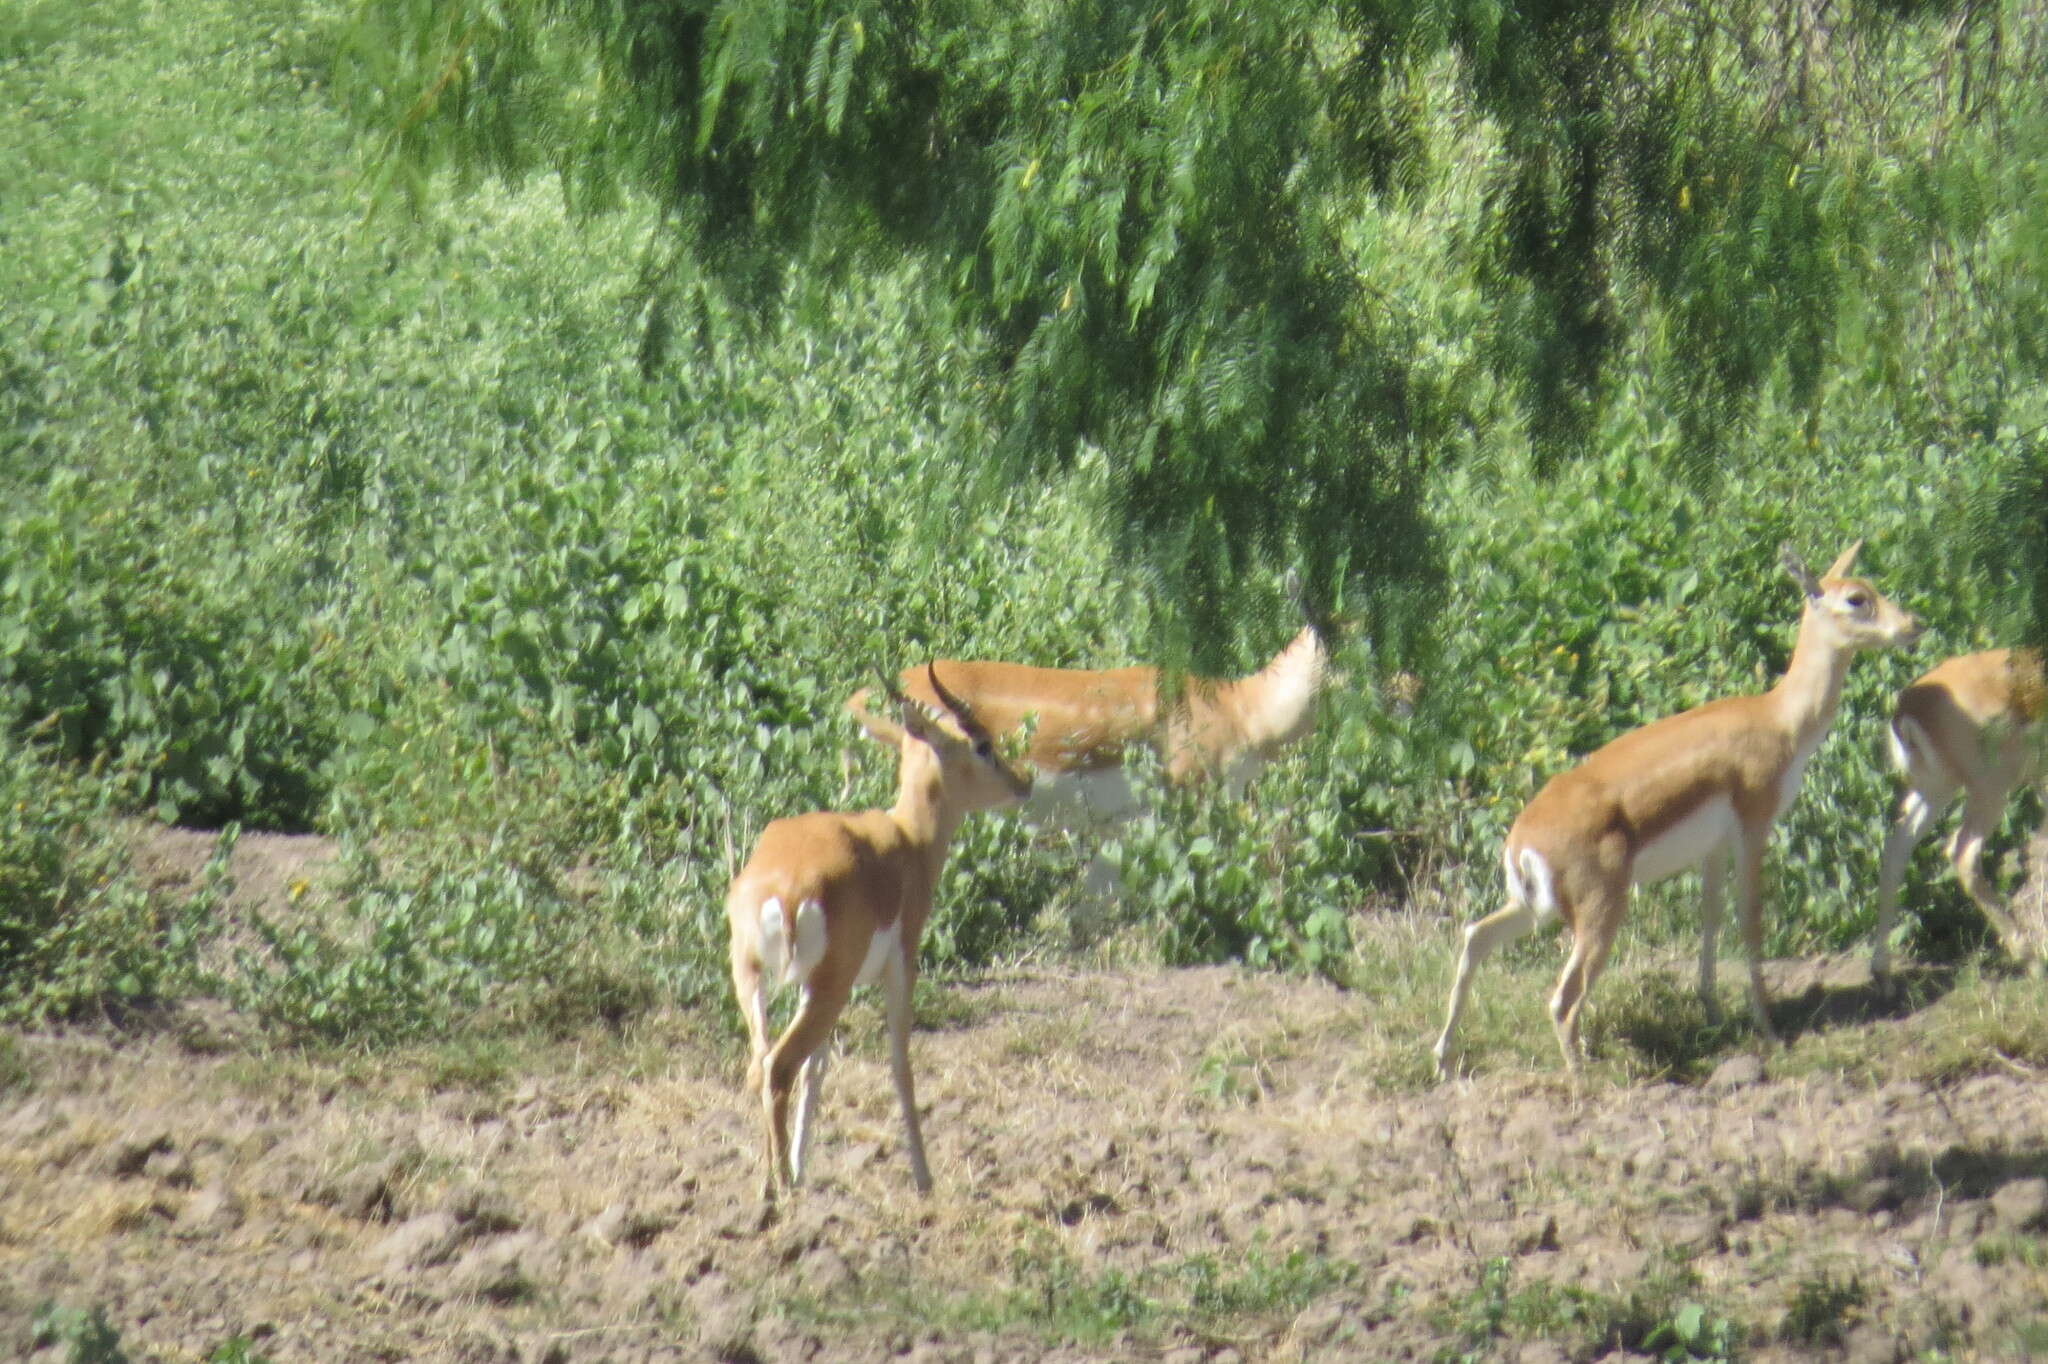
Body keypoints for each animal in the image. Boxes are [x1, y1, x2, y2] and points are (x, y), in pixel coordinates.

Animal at [729, 663, 1032, 1196]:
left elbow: (819, 1068)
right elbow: (899, 1061)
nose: (1023, 780)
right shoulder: (902, 963)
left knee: (761, 1063)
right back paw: (781, 1188)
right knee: (779, 1066)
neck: (907, 841)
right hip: (827, 987)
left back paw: (770, 1183)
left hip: (758, 979)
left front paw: (803, 1166)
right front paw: (925, 1179)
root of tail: (782, 889)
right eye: (981, 744)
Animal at [1433, 536, 1925, 1081]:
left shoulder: (1712, 847)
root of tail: (1521, 840)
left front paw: (1713, 1012)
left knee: (1475, 936)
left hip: (1534, 907)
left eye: (1873, 586)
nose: (1913, 625)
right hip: (1600, 909)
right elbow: (1749, 918)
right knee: (1562, 999)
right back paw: (1585, 1078)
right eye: (1857, 599)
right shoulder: (1755, 825)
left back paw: (1444, 1060)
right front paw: (1770, 1033)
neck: (1779, 720)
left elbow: (1709, 917)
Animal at [1875, 647, 2039, 970]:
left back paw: (1880, 968)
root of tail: (1907, 710)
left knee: (1897, 847)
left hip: (1935, 789)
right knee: (1962, 852)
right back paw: (2031, 959)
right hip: (1991, 787)